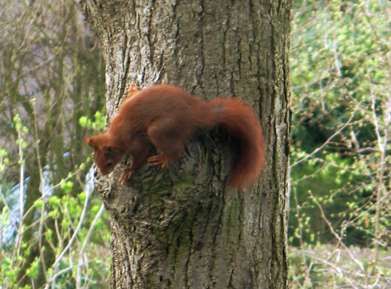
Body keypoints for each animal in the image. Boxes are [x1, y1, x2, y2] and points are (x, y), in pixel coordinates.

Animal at [83, 82, 266, 189]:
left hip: (159, 129)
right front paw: (132, 88)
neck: (117, 134)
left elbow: (141, 156)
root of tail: (196, 114)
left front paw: (128, 172)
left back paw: (164, 158)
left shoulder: (135, 142)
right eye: (95, 160)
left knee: (176, 150)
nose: (104, 173)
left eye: (108, 162)